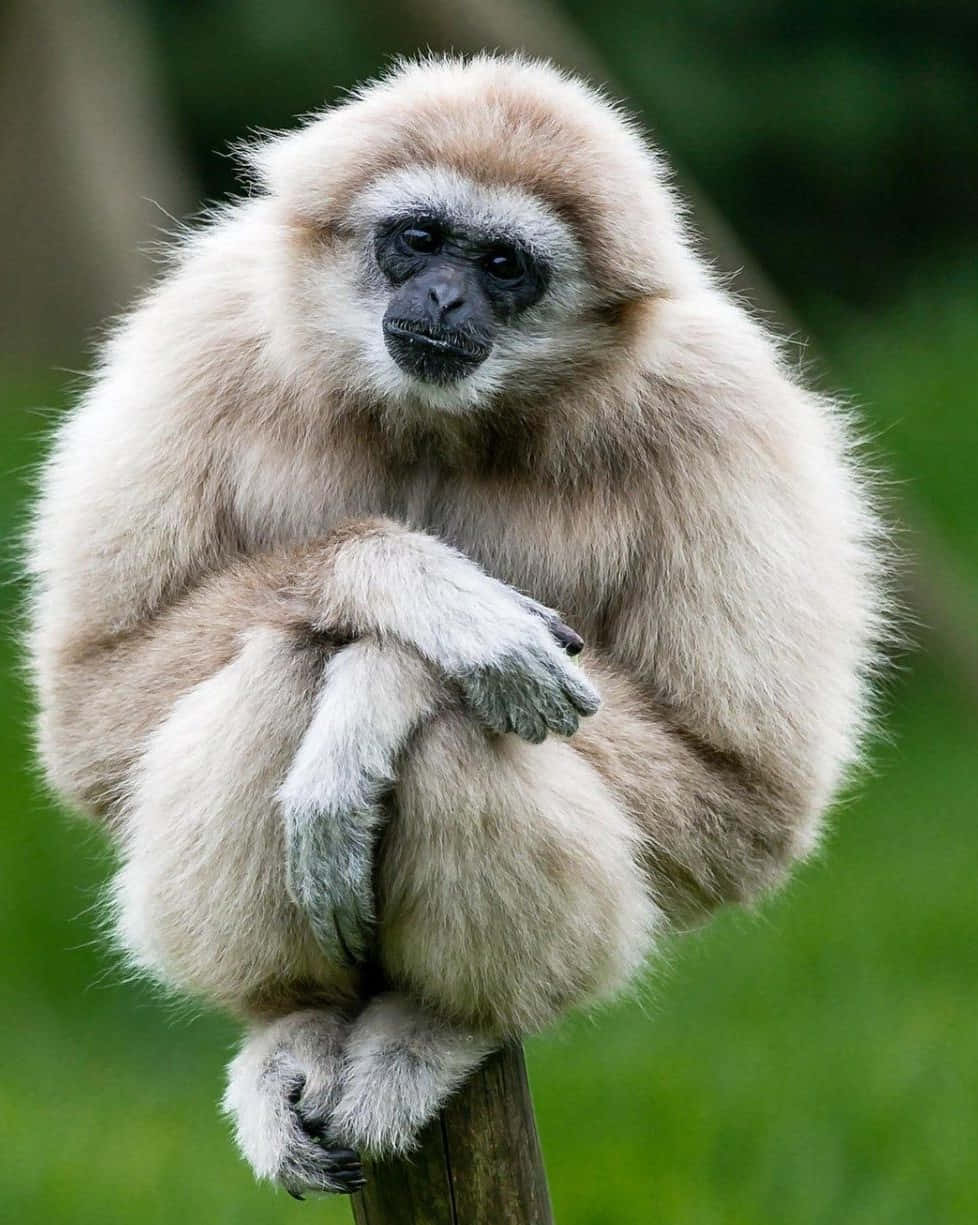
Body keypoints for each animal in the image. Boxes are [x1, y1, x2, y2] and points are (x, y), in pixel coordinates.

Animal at [26, 54, 884, 1198]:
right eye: (420, 238)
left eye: (504, 265)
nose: (440, 294)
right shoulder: (199, 328)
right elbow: (89, 706)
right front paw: (420, 589)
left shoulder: (722, 409)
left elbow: (746, 795)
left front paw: (392, 683)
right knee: (287, 656)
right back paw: (294, 1017)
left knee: (464, 726)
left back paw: (439, 1019)